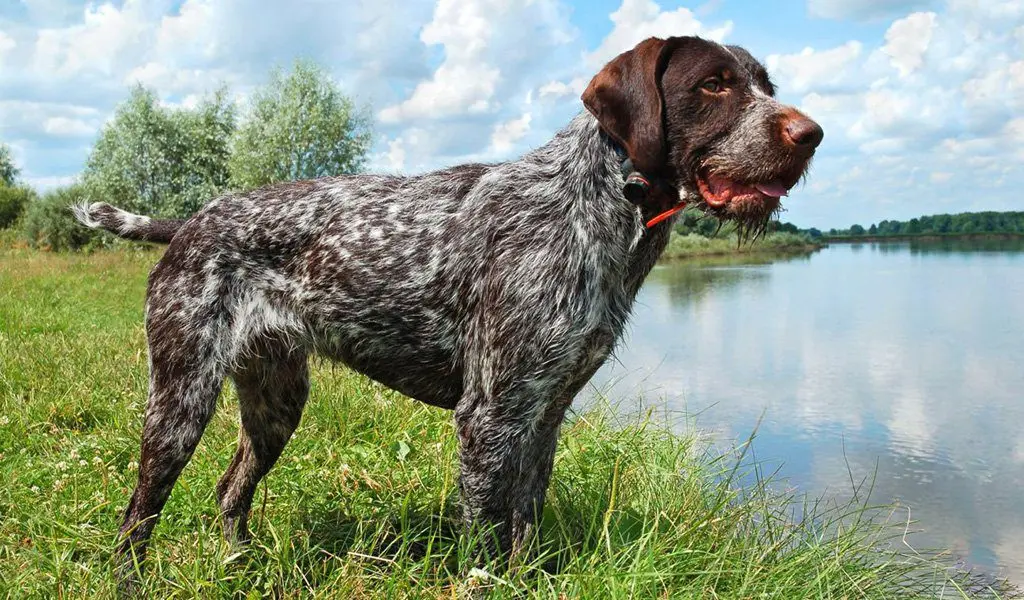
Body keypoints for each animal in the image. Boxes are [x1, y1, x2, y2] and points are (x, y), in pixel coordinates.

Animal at [74, 35, 823, 577]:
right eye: (714, 84)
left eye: (766, 85)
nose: (811, 134)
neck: (603, 203)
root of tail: (191, 222)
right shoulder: (490, 416)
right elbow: (487, 542)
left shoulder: (543, 414)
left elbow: (525, 525)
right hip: (180, 401)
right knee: (138, 515)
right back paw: (130, 578)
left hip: (276, 402)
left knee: (231, 490)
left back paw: (237, 567)